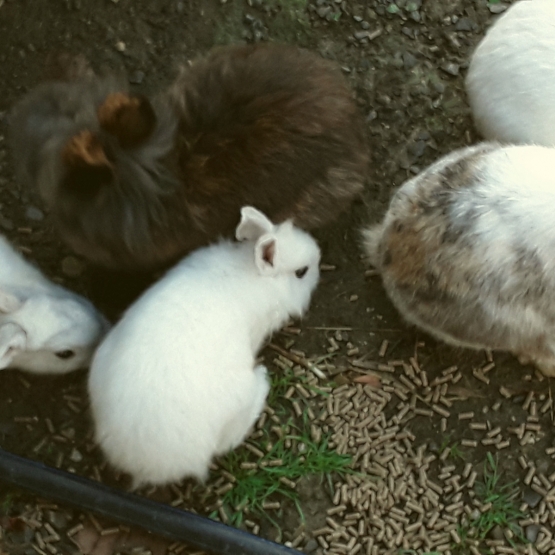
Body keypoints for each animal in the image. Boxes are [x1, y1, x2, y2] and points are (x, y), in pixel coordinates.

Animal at [87, 206, 322, 488]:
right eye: (301, 272)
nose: (320, 260)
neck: (254, 273)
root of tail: (140, 463)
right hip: (238, 396)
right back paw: (262, 378)